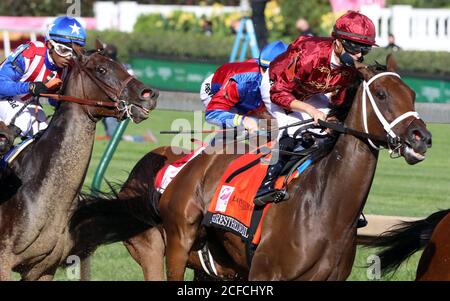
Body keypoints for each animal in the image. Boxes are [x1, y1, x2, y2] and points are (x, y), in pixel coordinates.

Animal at [71, 55, 432, 278]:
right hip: (167, 247)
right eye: (381, 94)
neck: (324, 206)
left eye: (412, 94)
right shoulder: (265, 271)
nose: (421, 138)